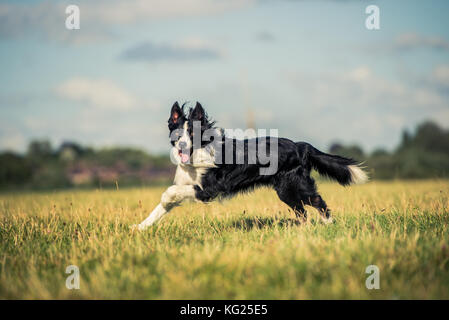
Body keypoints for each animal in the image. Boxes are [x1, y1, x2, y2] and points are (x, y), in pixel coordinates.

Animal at [136, 101, 364, 229]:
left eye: (192, 132)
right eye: (177, 133)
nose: (182, 144)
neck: (198, 154)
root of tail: (300, 145)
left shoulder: (209, 188)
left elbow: (171, 192)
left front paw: (164, 199)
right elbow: (160, 209)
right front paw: (139, 228)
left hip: (294, 184)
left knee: (316, 200)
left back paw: (328, 225)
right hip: (286, 191)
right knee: (302, 210)